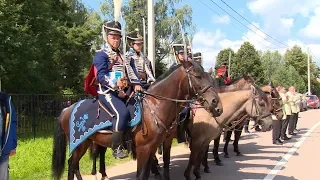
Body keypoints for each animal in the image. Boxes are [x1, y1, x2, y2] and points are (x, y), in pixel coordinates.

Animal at [52, 60, 222, 180]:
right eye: (197, 76)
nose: (216, 104)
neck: (155, 107)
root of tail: (66, 109)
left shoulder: (153, 148)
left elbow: (149, 172)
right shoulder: (143, 149)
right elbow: (141, 174)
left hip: (87, 142)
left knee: (74, 165)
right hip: (80, 144)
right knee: (72, 164)